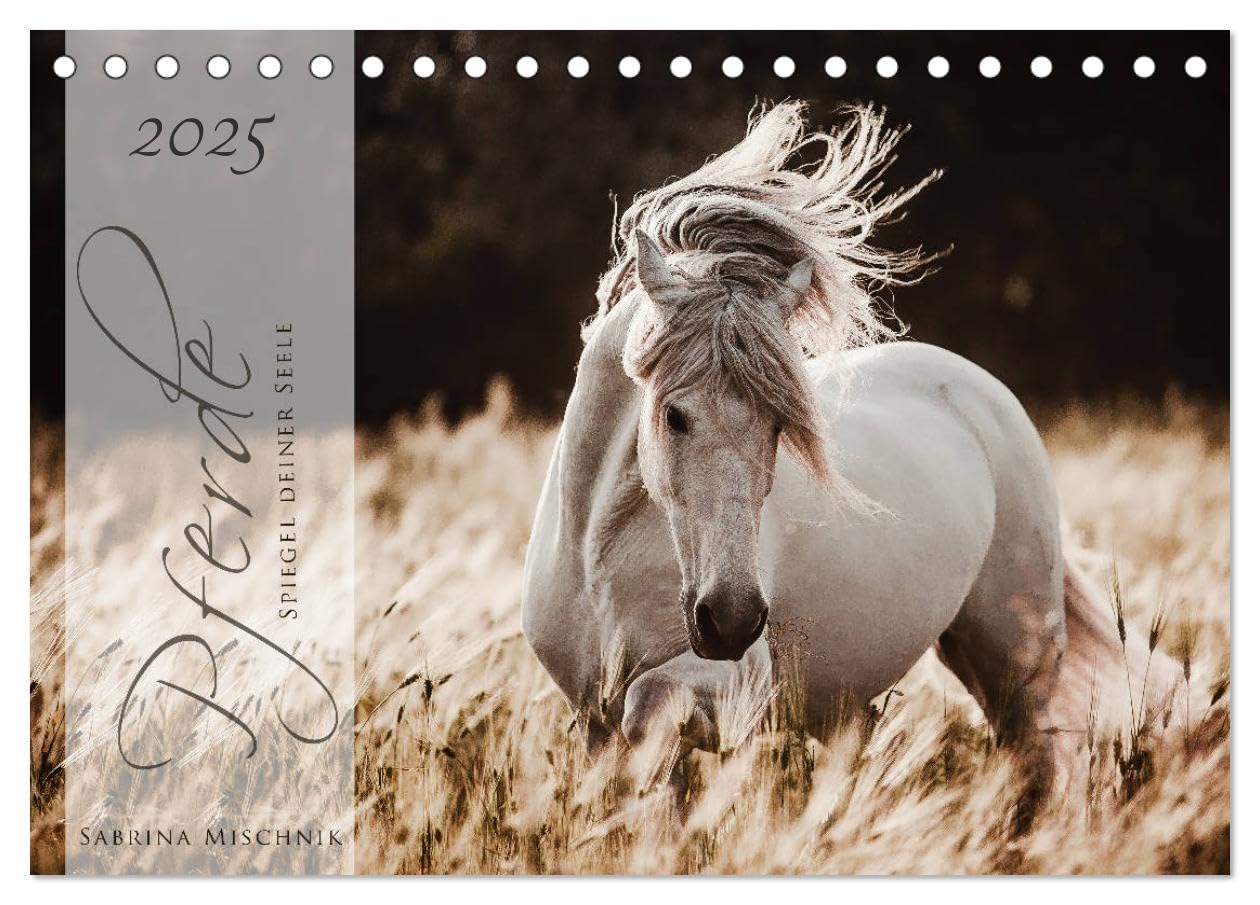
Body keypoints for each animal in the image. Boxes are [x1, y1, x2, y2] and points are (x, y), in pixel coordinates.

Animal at [522, 102, 1178, 776]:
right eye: (674, 416)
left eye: (779, 425)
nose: (731, 621)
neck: (600, 552)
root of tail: (979, 390)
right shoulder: (590, 721)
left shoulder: (729, 685)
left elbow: (647, 707)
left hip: (1018, 654)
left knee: (1044, 753)